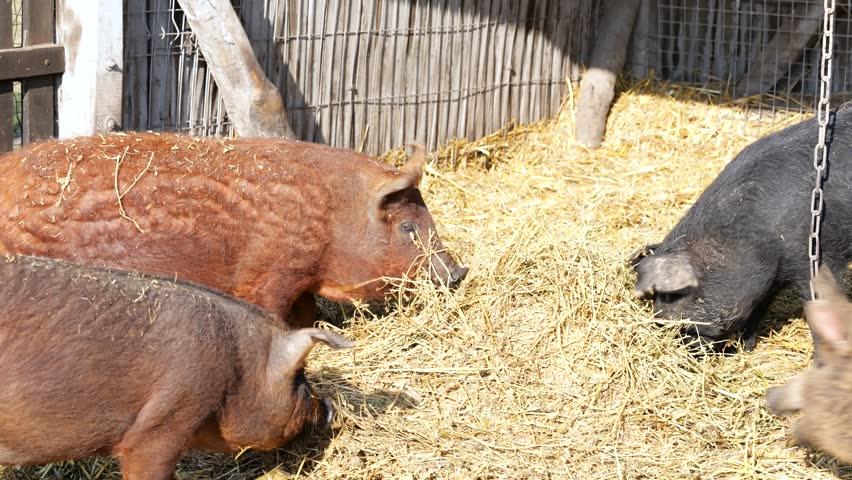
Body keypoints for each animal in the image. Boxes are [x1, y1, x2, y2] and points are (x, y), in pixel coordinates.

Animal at [0, 133, 468, 328]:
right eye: (408, 226)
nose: (459, 273)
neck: (332, 218)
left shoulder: (299, 279)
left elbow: (306, 314)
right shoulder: (271, 275)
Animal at [633, 106, 852, 350]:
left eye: (674, 296)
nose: (678, 340)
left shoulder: (822, 254)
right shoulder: (770, 276)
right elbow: (758, 308)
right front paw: (746, 347)